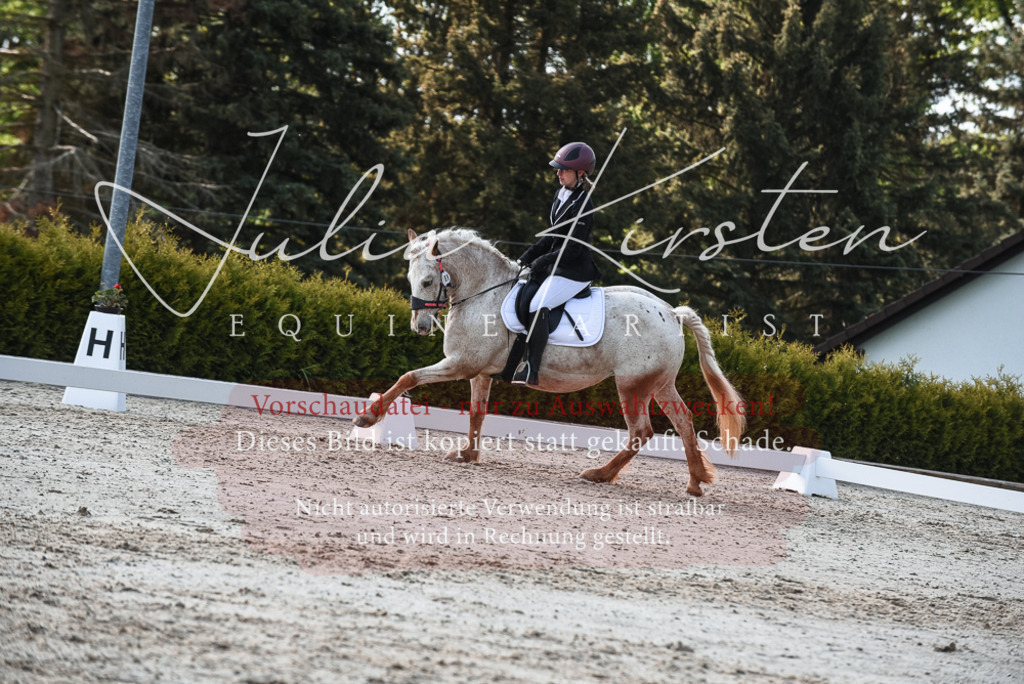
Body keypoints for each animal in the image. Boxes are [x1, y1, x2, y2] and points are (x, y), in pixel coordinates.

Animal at [354, 228, 745, 496]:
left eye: (426, 280)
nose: (419, 327)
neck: (483, 292)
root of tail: (672, 313)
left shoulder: (460, 363)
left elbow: (409, 377)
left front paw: (368, 416)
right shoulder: (480, 371)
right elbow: (477, 412)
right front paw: (467, 454)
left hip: (632, 385)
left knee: (642, 431)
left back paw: (600, 475)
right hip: (659, 384)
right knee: (684, 421)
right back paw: (695, 481)